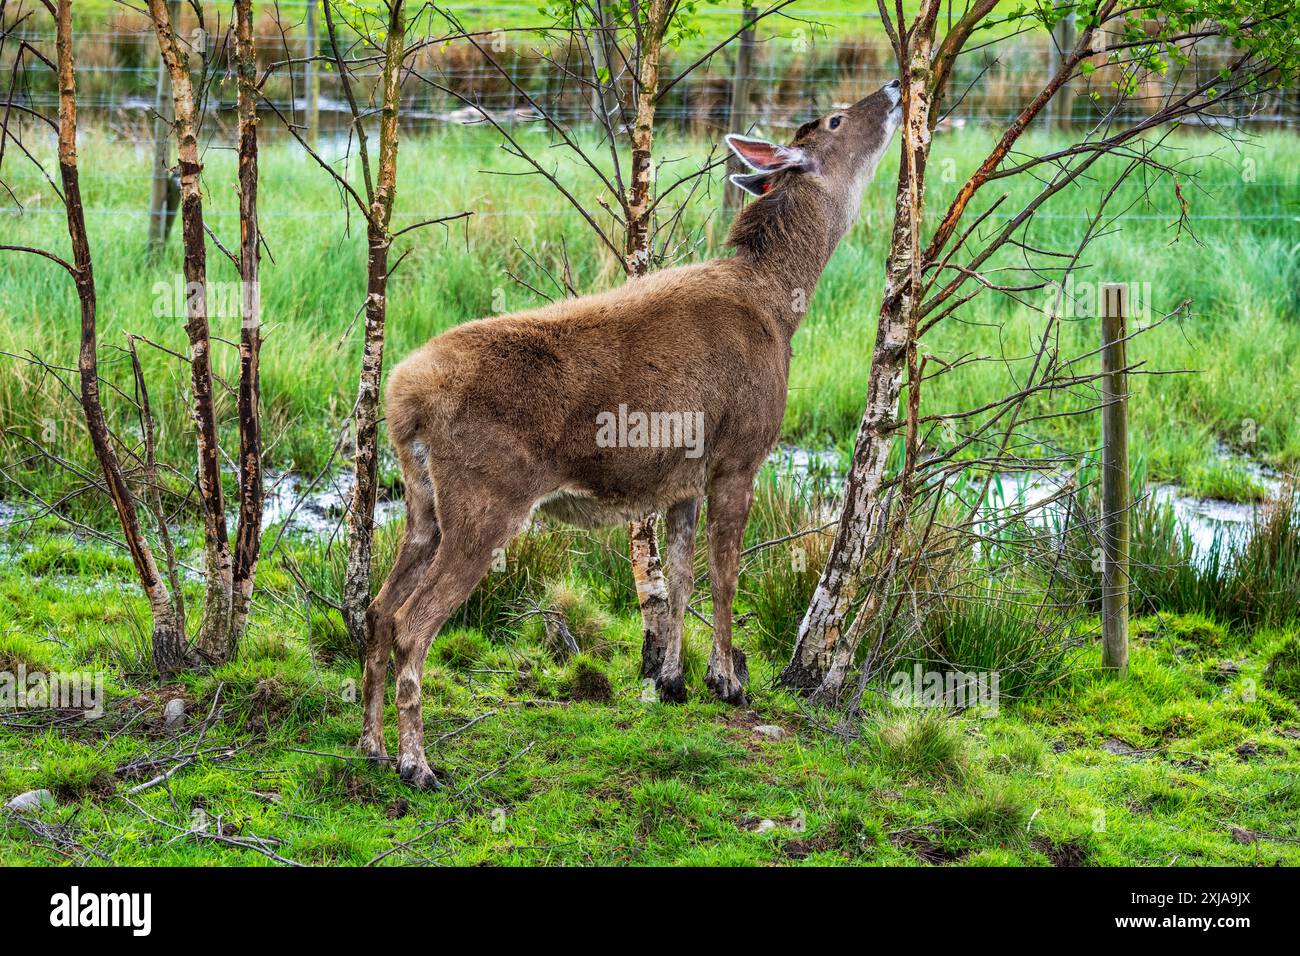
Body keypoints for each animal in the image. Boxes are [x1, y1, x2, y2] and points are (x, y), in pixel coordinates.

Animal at [361, 80, 903, 788]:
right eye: (837, 120)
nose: (893, 89)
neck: (779, 303)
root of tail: (404, 393)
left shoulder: (683, 476)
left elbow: (679, 576)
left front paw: (673, 680)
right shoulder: (740, 454)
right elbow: (725, 575)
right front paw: (729, 682)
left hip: (423, 502)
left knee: (375, 610)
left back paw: (372, 745)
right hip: (486, 498)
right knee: (409, 624)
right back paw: (417, 763)